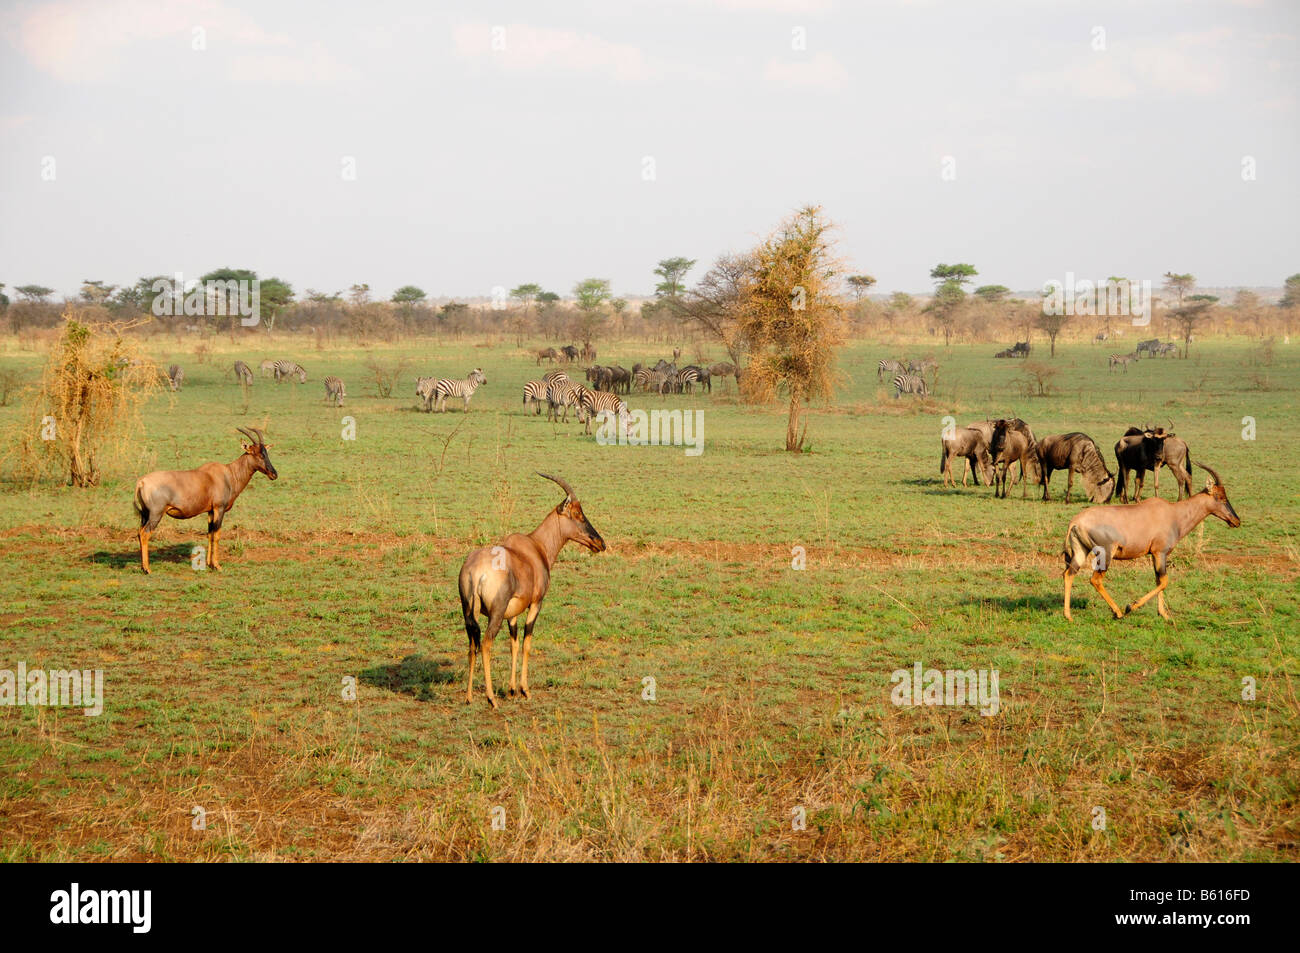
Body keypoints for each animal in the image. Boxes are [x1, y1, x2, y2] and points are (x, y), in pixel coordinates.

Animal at [133, 426, 278, 572]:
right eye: (258, 454)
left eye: (266, 453)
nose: (274, 474)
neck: (228, 474)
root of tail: (141, 482)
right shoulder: (219, 509)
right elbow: (217, 535)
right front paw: (217, 565)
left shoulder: (210, 511)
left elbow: (210, 534)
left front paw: (209, 563)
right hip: (155, 514)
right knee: (145, 534)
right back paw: (147, 569)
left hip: (145, 514)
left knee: (139, 533)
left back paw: (142, 566)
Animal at [454, 473, 605, 707]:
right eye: (577, 513)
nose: (600, 543)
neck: (535, 546)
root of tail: (475, 572)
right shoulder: (535, 604)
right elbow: (527, 642)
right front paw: (525, 690)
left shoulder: (513, 612)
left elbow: (514, 643)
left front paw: (511, 690)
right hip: (495, 613)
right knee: (486, 644)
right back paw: (491, 698)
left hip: (468, 611)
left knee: (472, 646)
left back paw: (469, 697)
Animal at [1060, 462, 1242, 624]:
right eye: (1220, 497)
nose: (1236, 521)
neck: (1172, 513)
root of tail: (1075, 522)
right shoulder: (1160, 552)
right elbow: (1164, 581)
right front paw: (1131, 606)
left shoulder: (1155, 555)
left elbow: (1159, 580)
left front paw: (1164, 615)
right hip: (1106, 554)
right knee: (1095, 579)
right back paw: (1118, 612)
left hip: (1081, 551)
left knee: (1069, 574)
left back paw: (1068, 616)